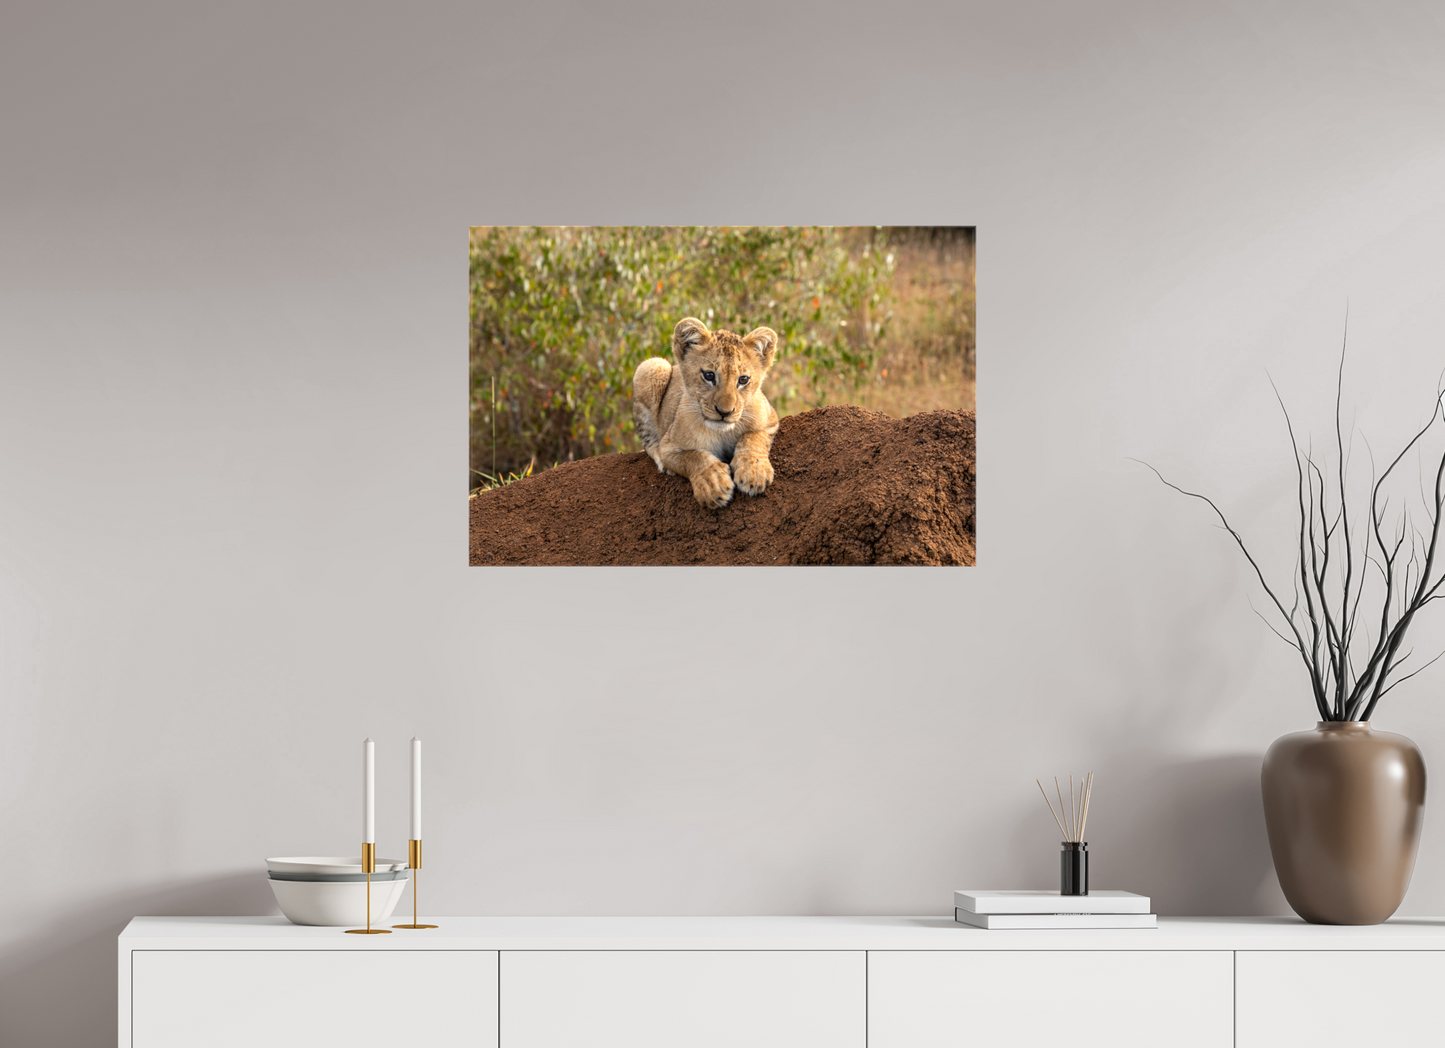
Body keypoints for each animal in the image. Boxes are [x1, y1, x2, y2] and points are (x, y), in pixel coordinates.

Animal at [632, 317, 780, 508]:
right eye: (709, 376)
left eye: (743, 380)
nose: (725, 412)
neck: (722, 432)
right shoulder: (669, 447)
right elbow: (694, 457)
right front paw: (713, 483)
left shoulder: (770, 419)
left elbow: (753, 437)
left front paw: (753, 472)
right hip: (652, 366)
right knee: (648, 440)